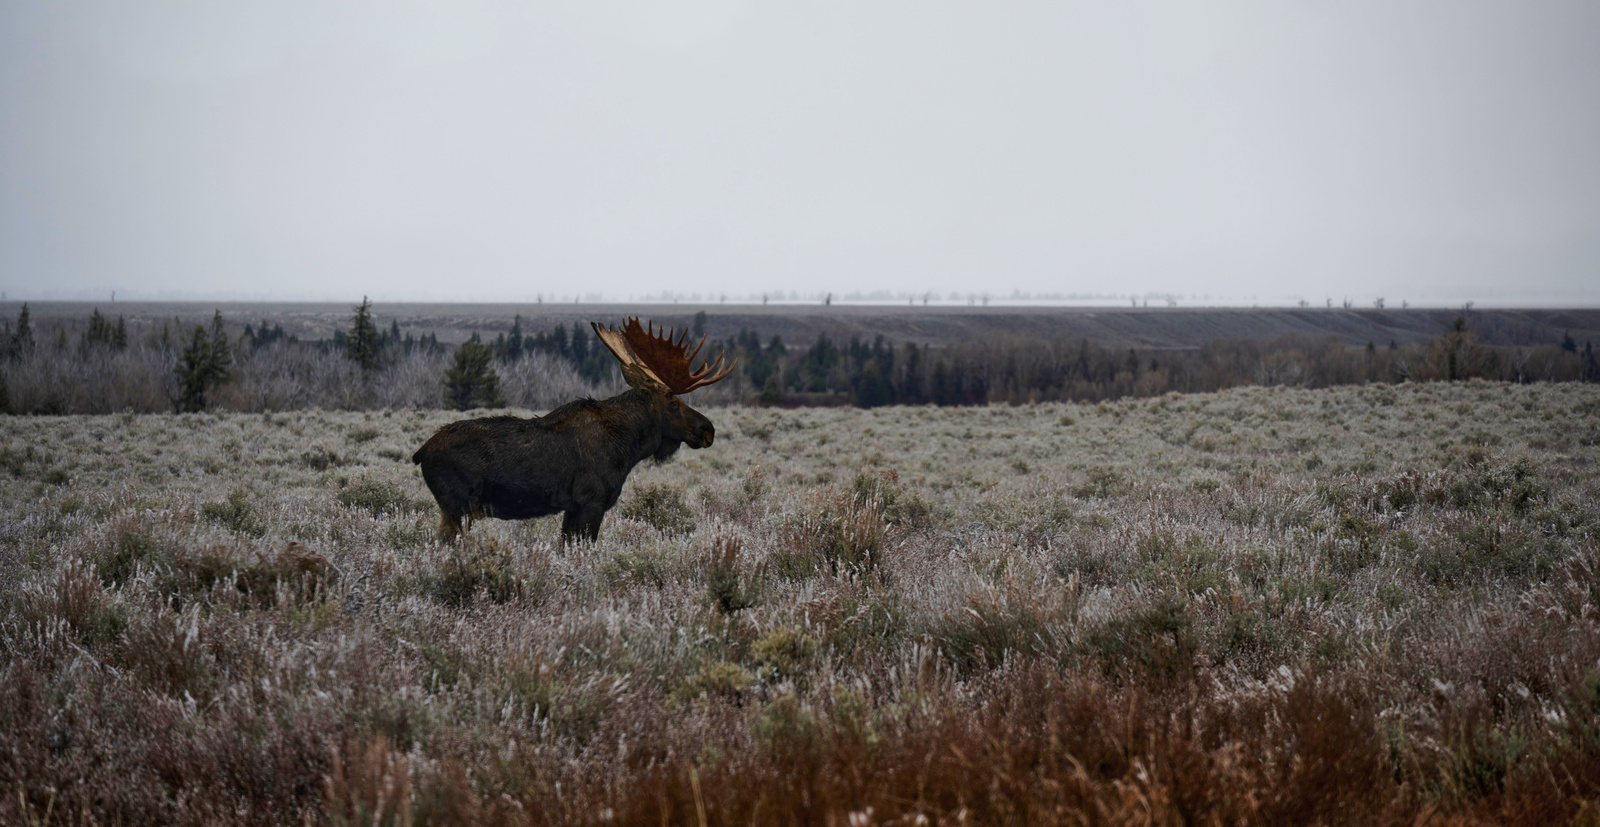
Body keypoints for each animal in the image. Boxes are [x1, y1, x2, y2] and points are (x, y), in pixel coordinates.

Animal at [411, 318, 735, 544]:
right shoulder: (592, 500)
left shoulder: (572, 507)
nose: (708, 429)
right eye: (671, 399)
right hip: (458, 506)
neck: (628, 447)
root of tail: (420, 453)